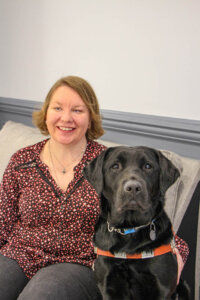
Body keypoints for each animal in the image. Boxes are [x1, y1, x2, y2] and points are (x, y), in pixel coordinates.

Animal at [83, 146, 190, 298]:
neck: (129, 229)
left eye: (148, 166)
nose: (133, 187)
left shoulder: (162, 287)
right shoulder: (107, 284)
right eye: (115, 166)